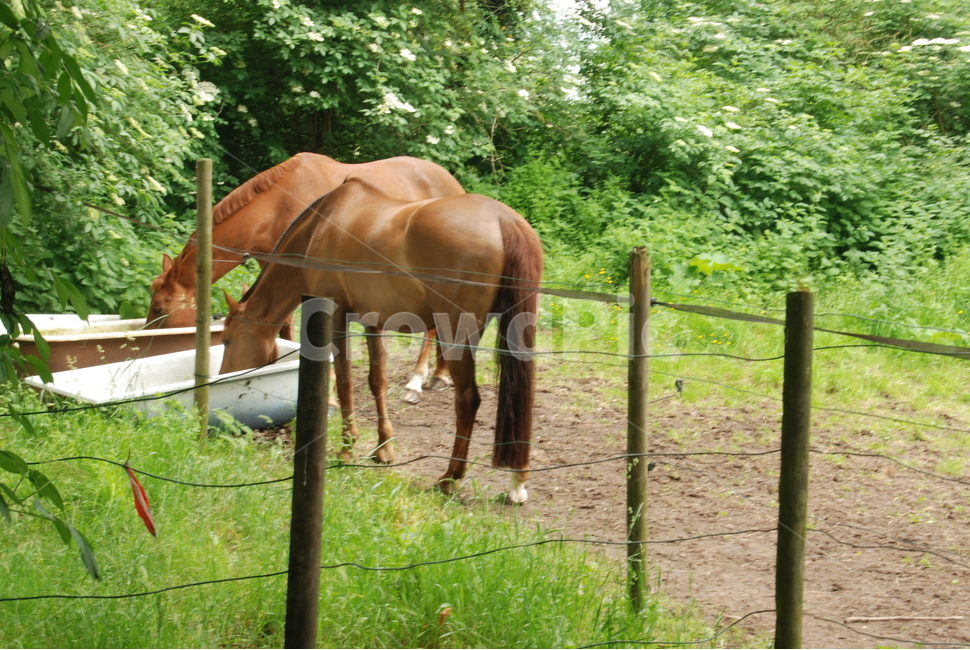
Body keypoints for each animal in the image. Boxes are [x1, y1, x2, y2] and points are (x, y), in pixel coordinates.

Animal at [146, 152, 464, 403]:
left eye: (159, 308)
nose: (149, 345)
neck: (278, 204)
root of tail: (451, 182)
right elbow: (285, 325)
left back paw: (417, 380)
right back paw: (440, 374)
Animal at [219, 178, 543, 503]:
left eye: (227, 340)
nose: (224, 377)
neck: (319, 226)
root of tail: (503, 219)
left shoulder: (336, 317)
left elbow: (345, 381)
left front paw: (347, 449)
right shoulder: (372, 323)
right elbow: (377, 381)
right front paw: (383, 448)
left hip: (456, 335)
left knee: (467, 400)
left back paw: (450, 477)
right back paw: (517, 482)